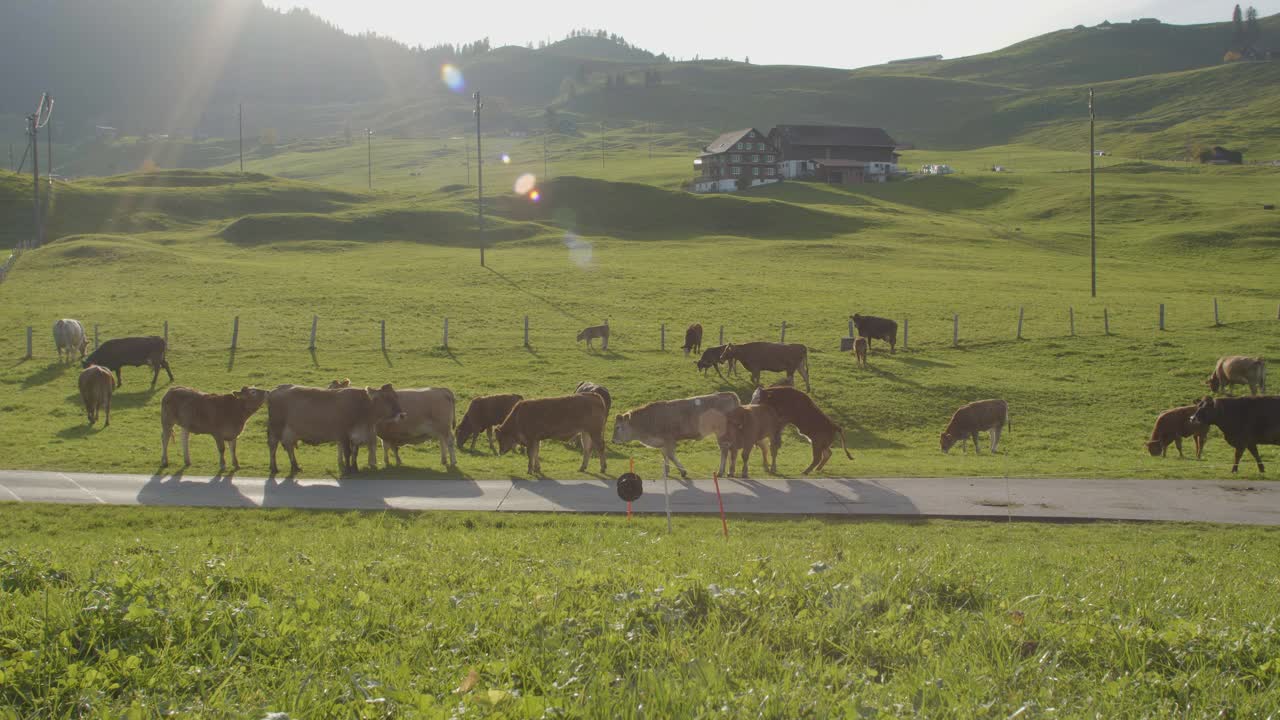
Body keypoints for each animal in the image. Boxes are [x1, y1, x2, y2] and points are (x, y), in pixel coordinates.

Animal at [268, 384, 404, 474]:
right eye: (387, 398)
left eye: (396, 397)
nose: (402, 415)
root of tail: (276, 389)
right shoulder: (343, 435)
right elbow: (347, 453)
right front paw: (348, 470)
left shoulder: (356, 436)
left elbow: (355, 452)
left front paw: (355, 468)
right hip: (276, 428)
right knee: (273, 446)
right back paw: (274, 468)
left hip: (289, 431)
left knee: (289, 447)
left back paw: (295, 466)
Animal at [611, 389, 742, 479]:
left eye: (618, 427)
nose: (613, 440)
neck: (649, 419)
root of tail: (729, 394)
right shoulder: (662, 442)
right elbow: (665, 455)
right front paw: (666, 471)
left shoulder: (669, 439)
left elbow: (671, 455)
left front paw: (683, 471)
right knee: (731, 450)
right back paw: (730, 471)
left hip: (721, 432)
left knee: (724, 450)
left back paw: (720, 472)